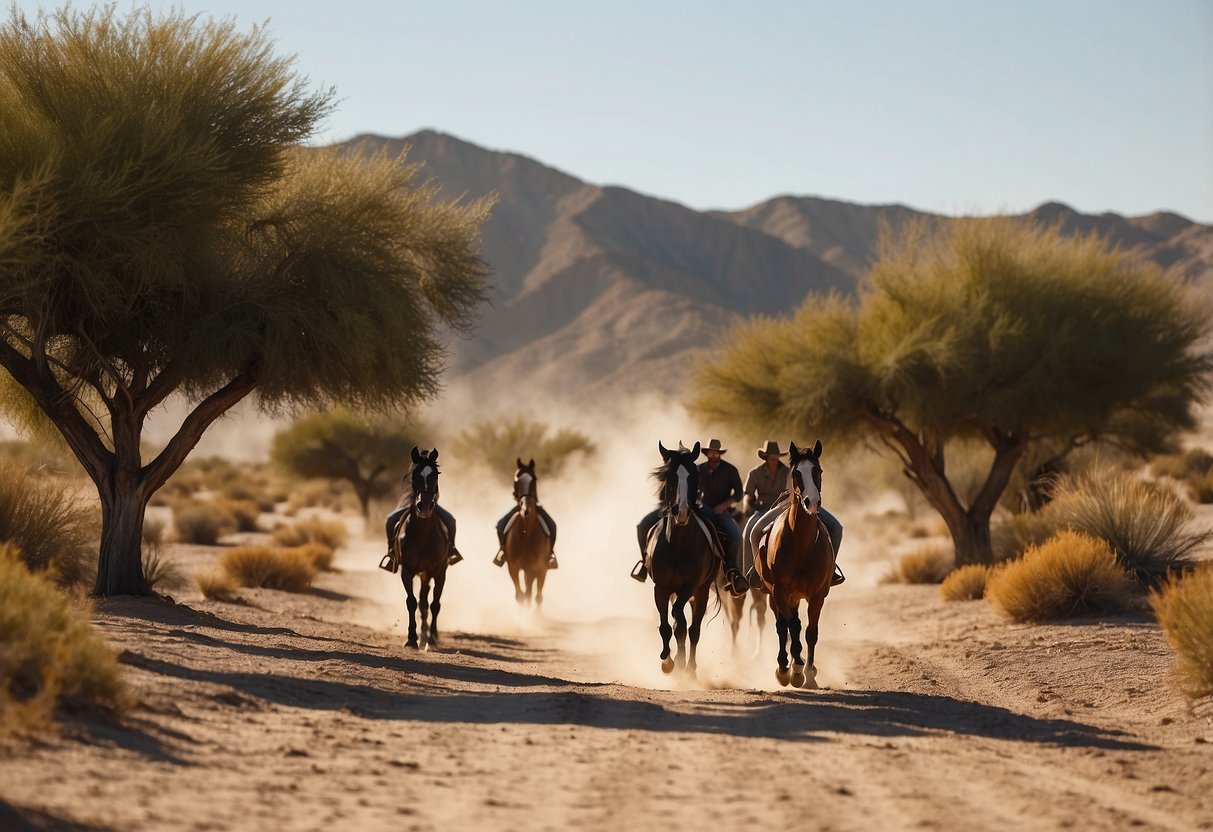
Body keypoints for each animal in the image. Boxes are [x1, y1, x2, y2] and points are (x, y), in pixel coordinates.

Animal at [395, 448, 453, 650]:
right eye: (415, 475)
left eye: (435, 475)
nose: (425, 506)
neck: (422, 535)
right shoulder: (407, 570)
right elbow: (412, 602)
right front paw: (412, 639)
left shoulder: (438, 571)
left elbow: (435, 604)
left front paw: (432, 638)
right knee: (421, 602)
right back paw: (421, 636)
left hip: (428, 574)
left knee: (427, 602)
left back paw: (428, 635)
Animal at [502, 458, 555, 608]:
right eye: (516, 480)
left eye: (534, 480)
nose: (526, 510)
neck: (526, 534)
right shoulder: (513, 567)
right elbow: (520, 595)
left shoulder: (539, 568)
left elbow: (536, 597)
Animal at [645, 443, 718, 679]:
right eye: (669, 476)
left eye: (694, 476)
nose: (682, 511)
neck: (677, 546)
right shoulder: (661, 588)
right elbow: (667, 625)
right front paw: (667, 662)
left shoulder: (690, 587)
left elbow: (681, 624)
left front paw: (678, 663)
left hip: (701, 592)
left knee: (693, 629)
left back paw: (691, 668)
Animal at [752, 439, 839, 688]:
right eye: (796, 473)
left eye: (818, 470)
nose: (812, 502)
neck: (801, 545)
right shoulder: (780, 591)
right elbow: (792, 626)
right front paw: (796, 668)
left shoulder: (818, 595)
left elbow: (811, 631)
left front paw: (809, 673)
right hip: (774, 594)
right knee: (783, 627)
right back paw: (784, 668)